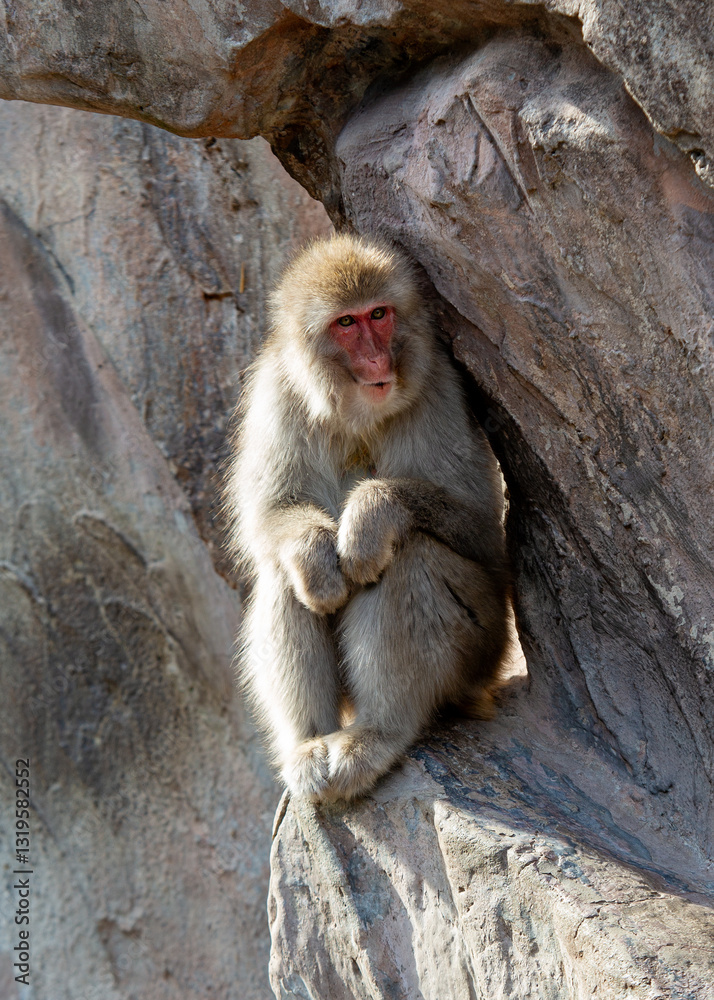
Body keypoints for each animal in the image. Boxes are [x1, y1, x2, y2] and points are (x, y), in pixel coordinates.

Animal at [224, 233, 510, 802]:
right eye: (347, 323)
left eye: (380, 314)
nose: (377, 358)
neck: (358, 415)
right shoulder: (276, 393)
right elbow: (269, 518)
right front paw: (314, 554)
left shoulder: (442, 388)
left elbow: (482, 528)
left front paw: (371, 516)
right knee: (285, 575)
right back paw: (309, 744)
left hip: (484, 646)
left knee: (411, 557)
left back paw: (381, 731)